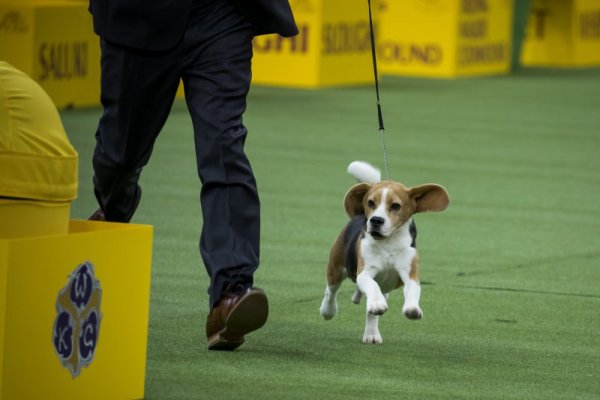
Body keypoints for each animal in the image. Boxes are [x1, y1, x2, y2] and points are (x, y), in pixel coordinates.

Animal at [322, 162, 448, 344]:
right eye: (370, 203)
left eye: (395, 206)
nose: (375, 220)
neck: (388, 242)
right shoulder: (365, 272)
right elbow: (371, 285)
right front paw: (377, 304)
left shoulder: (410, 273)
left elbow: (413, 289)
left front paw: (412, 308)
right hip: (336, 267)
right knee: (331, 291)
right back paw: (328, 310)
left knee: (371, 308)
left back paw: (371, 333)